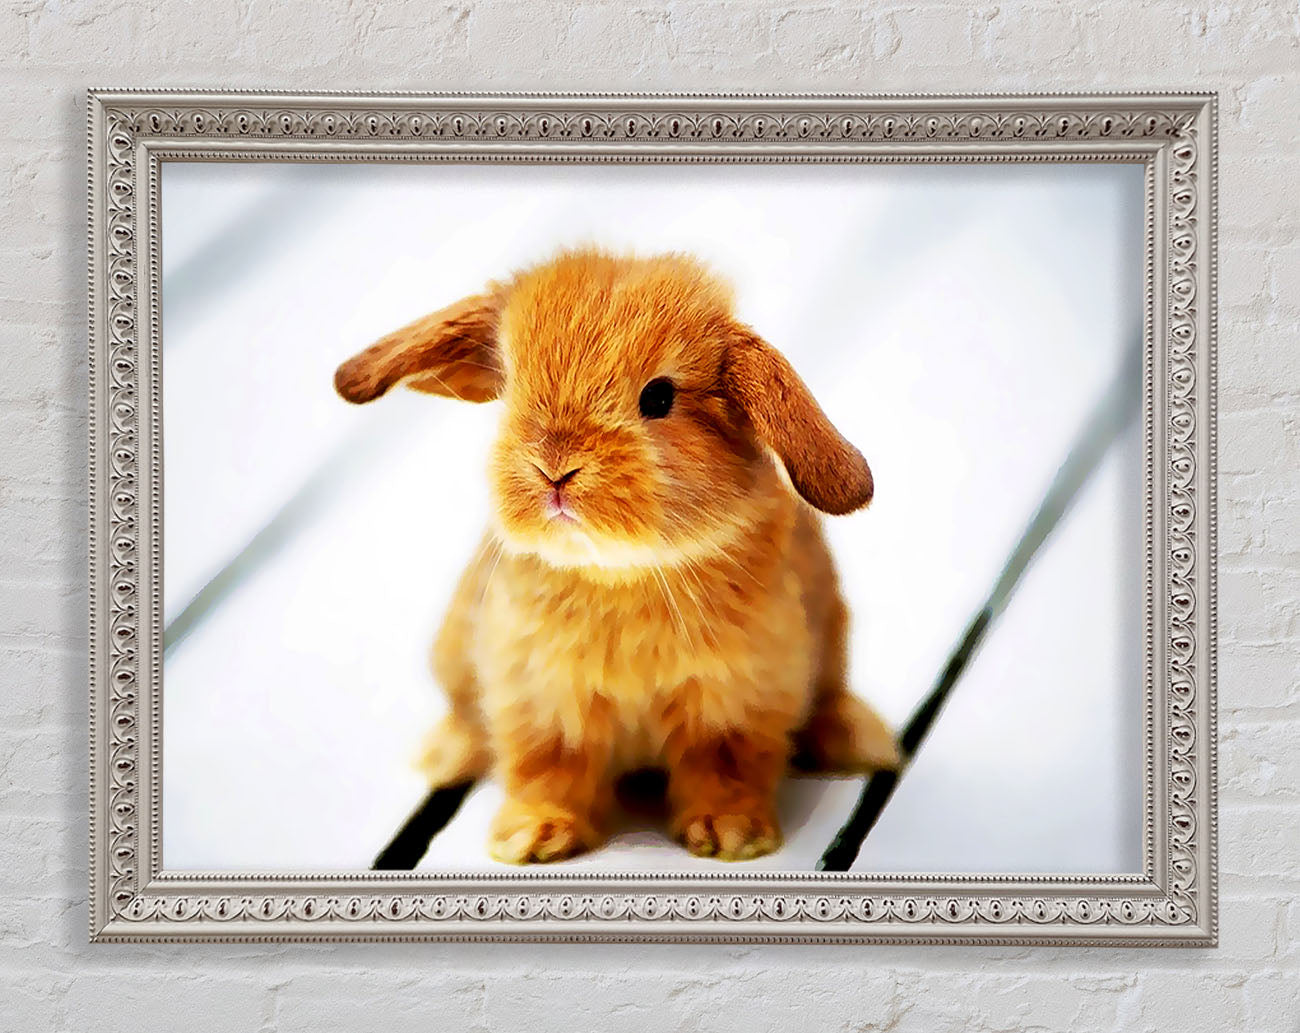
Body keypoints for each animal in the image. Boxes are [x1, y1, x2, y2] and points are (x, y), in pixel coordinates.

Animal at [334, 247, 899, 864]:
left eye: (659, 397)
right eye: (510, 385)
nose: (555, 469)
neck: (621, 572)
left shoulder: (736, 701)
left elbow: (724, 767)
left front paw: (731, 834)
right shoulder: (540, 699)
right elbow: (547, 769)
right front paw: (531, 838)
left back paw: (859, 740)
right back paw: (443, 756)